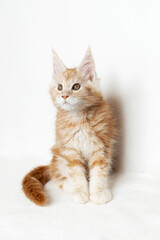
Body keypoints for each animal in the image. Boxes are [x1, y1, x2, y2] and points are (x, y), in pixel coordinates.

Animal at [21, 47, 116, 205]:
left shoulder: (101, 146)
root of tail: (51, 164)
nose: (64, 96)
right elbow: (76, 174)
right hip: (58, 156)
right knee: (56, 176)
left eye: (76, 86)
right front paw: (80, 192)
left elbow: (99, 172)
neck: (79, 118)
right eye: (60, 87)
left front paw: (98, 193)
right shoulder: (70, 149)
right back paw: (69, 185)